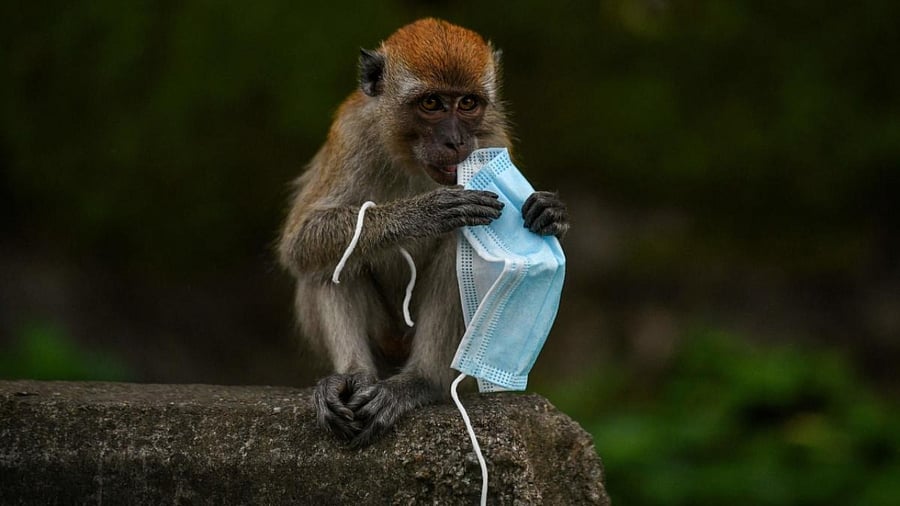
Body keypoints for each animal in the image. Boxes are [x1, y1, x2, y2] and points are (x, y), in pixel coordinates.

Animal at [278, 18, 569, 447]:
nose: (455, 141)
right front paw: (424, 213)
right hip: (384, 339)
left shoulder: (492, 139)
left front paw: (550, 213)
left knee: (458, 249)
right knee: (331, 258)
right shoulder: (352, 135)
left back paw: (420, 382)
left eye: (468, 103)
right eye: (431, 104)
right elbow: (302, 241)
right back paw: (352, 376)